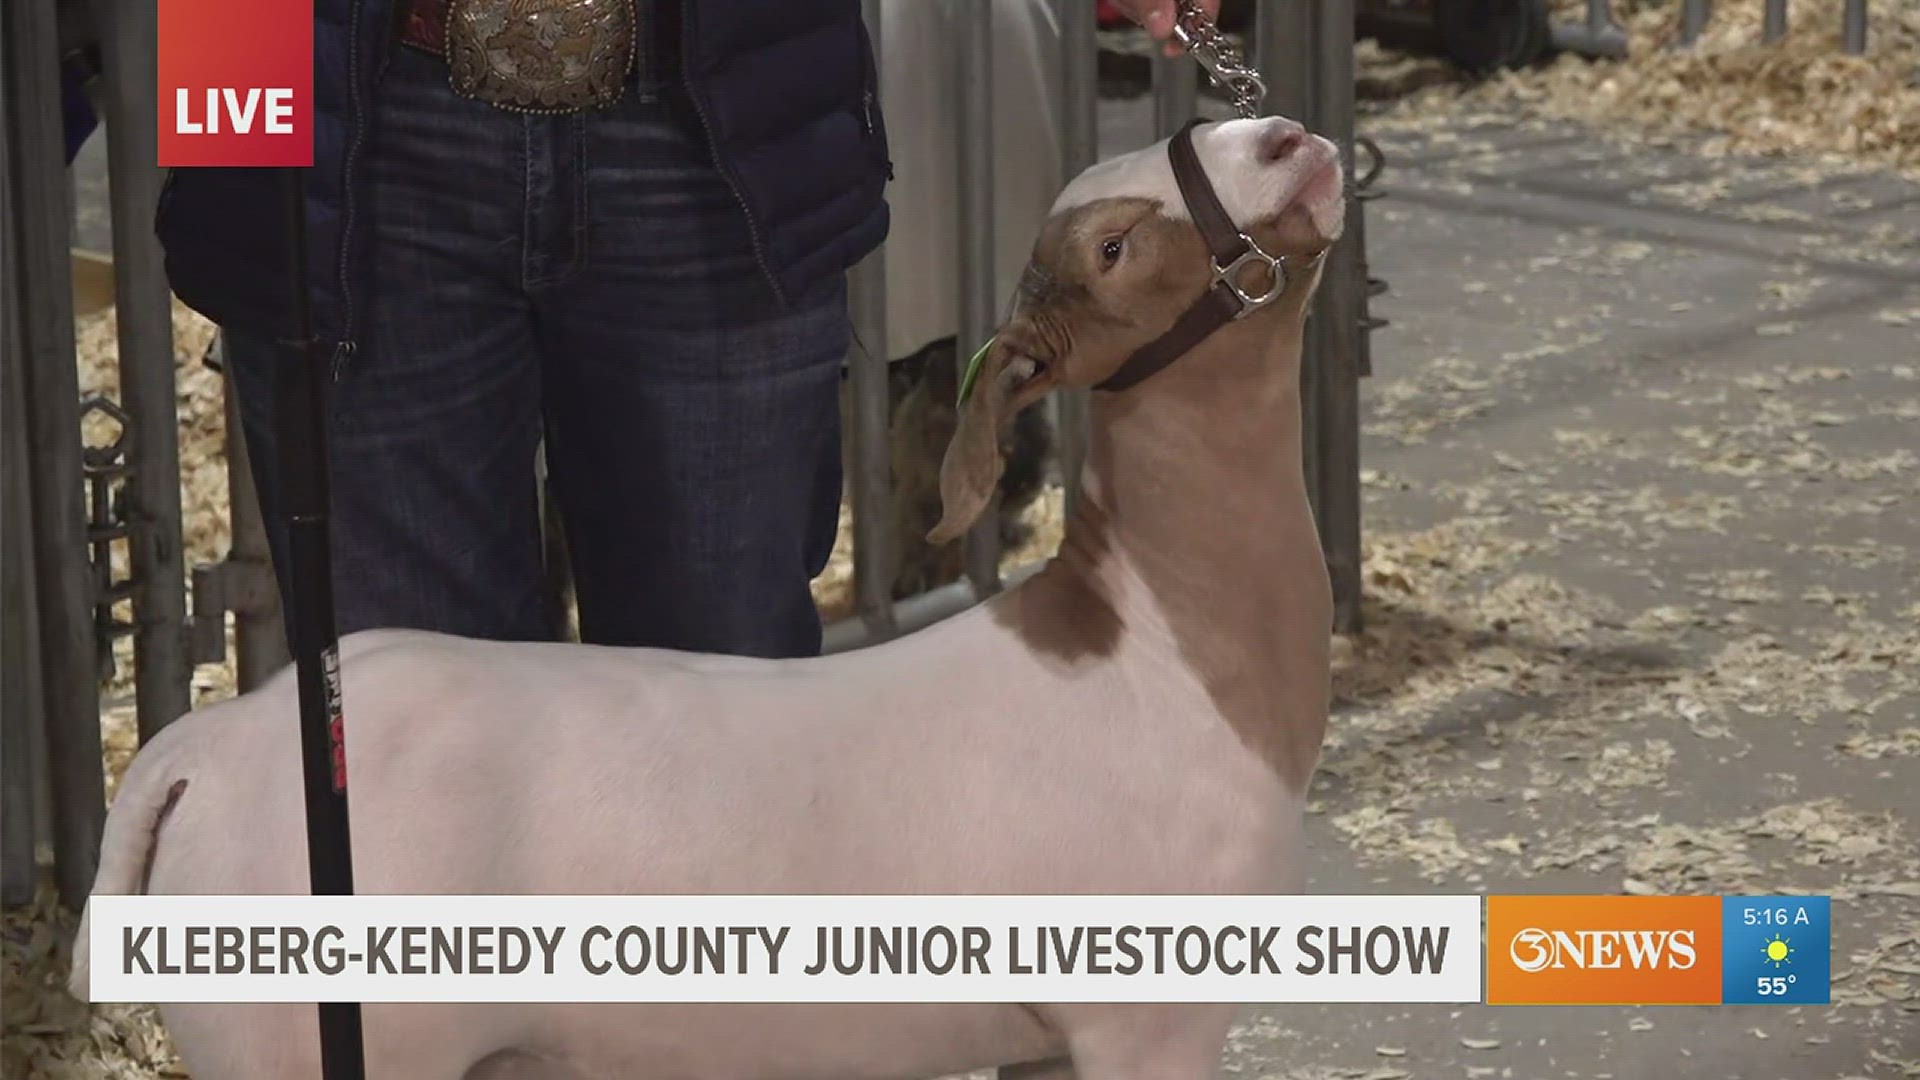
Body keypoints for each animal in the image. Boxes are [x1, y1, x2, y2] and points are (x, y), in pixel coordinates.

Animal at [74, 115, 1351, 1076]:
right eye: (1117, 248)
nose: (1286, 139)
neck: (1157, 642)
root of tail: (207, 749)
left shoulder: (1048, 1041)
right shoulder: (1146, 1022)